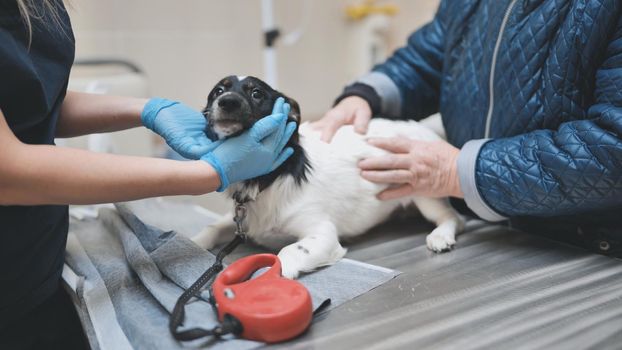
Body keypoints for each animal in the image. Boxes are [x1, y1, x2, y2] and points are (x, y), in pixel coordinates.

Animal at [193, 76, 466, 278]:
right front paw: (194, 242)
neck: (268, 179)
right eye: (218, 91)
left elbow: (289, 251)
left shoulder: (322, 234)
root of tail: (423, 127)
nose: (227, 102)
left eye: (257, 93)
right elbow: (212, 226)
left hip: (423, 189)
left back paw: (441, 235)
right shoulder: (240, 219)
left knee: (454, 217)